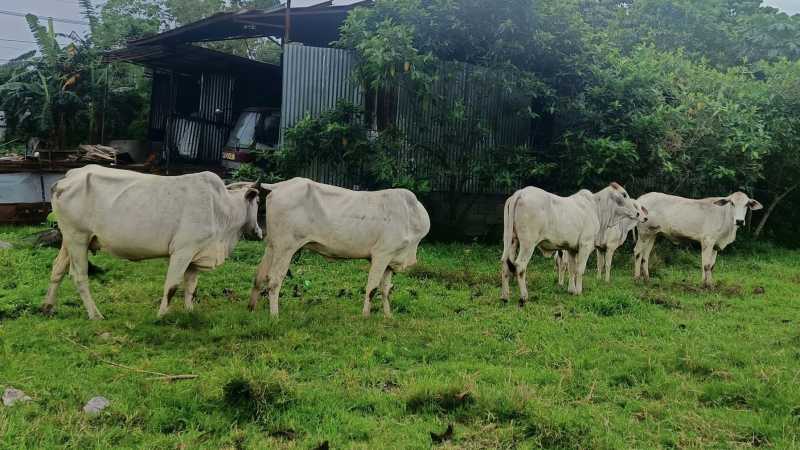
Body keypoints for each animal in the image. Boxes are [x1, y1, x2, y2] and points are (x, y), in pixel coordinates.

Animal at [41, 165, 262, 320]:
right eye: (258, 202)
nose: (259, 232)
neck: (222, 209)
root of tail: (68, 178)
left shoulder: (196, 255)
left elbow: (191, 287)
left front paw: (190, 311)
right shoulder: (182, 251)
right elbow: (172, 286)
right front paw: (161, 315)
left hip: (70, 240)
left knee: (57, 269)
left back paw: (47, 307)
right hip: (77, 238)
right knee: (79, 276)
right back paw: (95, 315)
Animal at [248, 178, 430, 318]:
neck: (411, 215)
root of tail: (279, 186)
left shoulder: (391, 261)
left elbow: (385, 290)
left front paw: (388, 316)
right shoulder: (382, 254)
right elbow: (372, 288)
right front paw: (365, 316)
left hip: (273, 246)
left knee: (259, 276)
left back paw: (251, 308)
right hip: (286, 247)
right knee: (274, 281)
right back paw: (274, 316)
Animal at [501, 182, 644, 304]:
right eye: (624, 194)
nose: (637, 213)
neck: (597, 208)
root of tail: (520, 193)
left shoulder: (571, 249)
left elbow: (571, 269)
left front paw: (571, 290)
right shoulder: (585, 245)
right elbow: (580, 269)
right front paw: (578, 291)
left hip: (511, 240)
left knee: (505, 263)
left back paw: (505, 296)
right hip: (528, 243)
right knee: (520, 266)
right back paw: (524, 296)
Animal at [634, 191, 762, 286]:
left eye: (747, 204)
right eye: (732, 203)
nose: (739, 221)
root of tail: (641, 199)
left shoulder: (715, 244)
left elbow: (712, 266)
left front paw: (710, 283)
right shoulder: (707, 241)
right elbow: (706, 265)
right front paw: (705, 286)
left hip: (652, 234)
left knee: (646, 255)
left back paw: (647, 279)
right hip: (643, 232)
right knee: (638, 252)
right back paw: (637, 278)